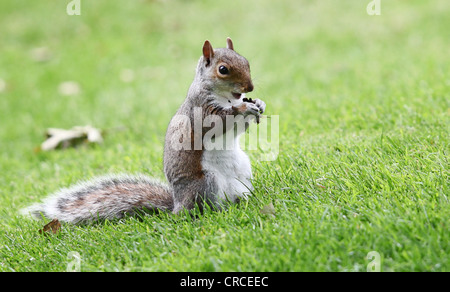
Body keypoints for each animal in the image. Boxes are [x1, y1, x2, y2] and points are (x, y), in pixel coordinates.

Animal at [22, 38, 268, 224]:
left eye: (246, 61)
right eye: (223, 69)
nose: (249, 88)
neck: (226, 97)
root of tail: (177, 206)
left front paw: (259, 103)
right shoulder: (200, 110)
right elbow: (219, 123)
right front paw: (244, 107)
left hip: (243, 171)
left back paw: (245, 202)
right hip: (206, 183)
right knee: (204, 208)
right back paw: (218, 211)